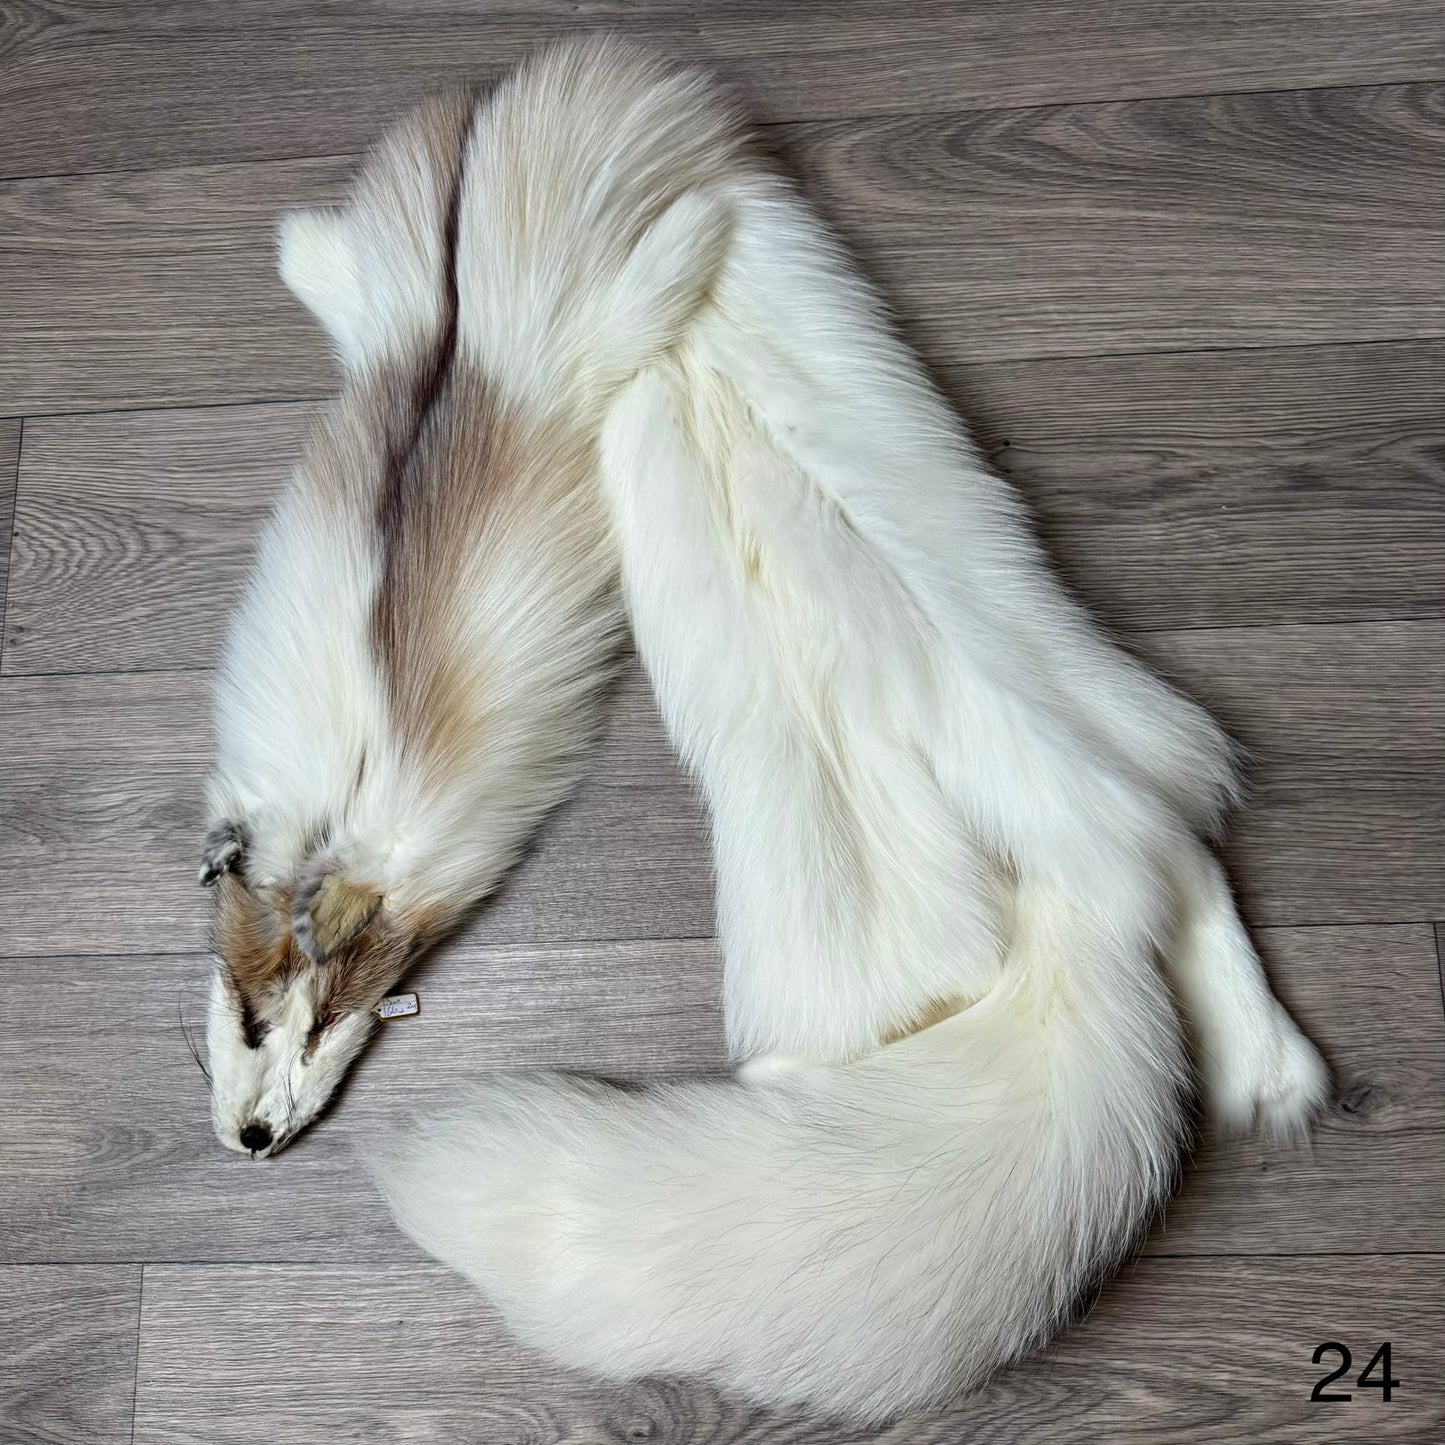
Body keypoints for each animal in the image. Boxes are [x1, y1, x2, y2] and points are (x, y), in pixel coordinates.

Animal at [200, 47, 736, 1157]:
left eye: (322, 1024)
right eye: (249, 1017)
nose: (258, 1137)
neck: (329, 821)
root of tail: (466, 331)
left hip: (595, 336)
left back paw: (700, 225)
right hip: (405, 319)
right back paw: (305, 250)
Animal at [358, 42, 1333, 1421]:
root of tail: (1044, 900)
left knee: (1166, 855)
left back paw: (1264, 1064)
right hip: (1072, 746)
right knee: (1180, 852)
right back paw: (1269, 1067)